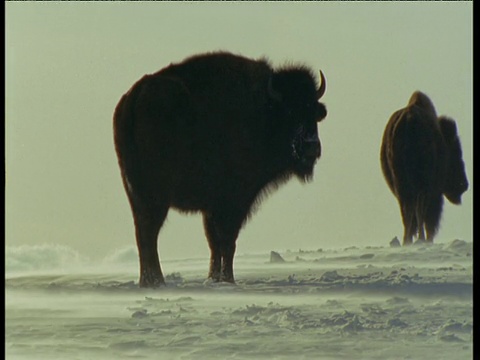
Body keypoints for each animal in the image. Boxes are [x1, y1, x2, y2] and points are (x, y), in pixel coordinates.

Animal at [114, 51, 328, 286]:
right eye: (290, 111)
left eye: (314, 112)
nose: (311, 146)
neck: (263, 111)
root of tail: (134, 98)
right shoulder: (234, 201)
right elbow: (227, 241)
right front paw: (228, 279)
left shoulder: (212, 207)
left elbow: (214, 243)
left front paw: (214, 278)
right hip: (156, 196)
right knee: (149, 233)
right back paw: (156, 280)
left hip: (135, 192)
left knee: (143, 234)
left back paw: (149, 281)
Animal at [380, 91, 466, 246]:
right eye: (455, 151)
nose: (464, 184)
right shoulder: (434, 192)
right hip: (422, 188)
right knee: (419, 211)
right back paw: (420, 239)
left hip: (403, 188)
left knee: (408, 213)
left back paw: (408, 240)